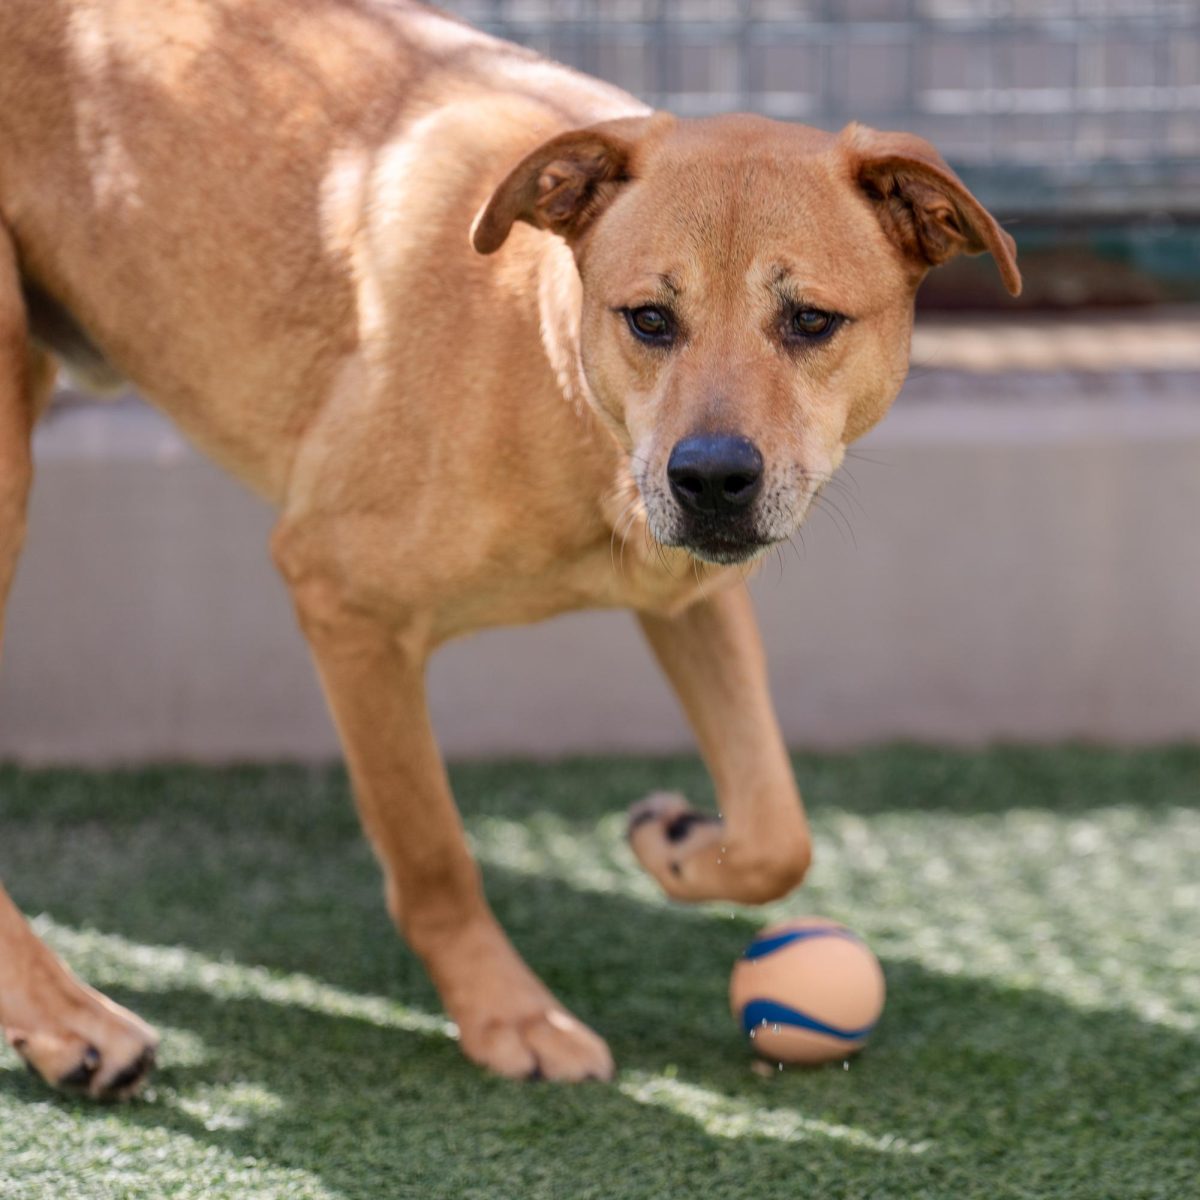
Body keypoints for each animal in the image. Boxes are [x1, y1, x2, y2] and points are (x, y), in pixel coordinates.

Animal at [0, 0, 1022, 1094]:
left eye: (810, 321)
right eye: (649, 318)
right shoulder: (342, 599)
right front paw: (508, 1014)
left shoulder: (690, 595)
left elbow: (777, 829)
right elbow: (432, 852)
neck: (549, 356)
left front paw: (678, 846)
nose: (708, 479)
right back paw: (68, 1019)